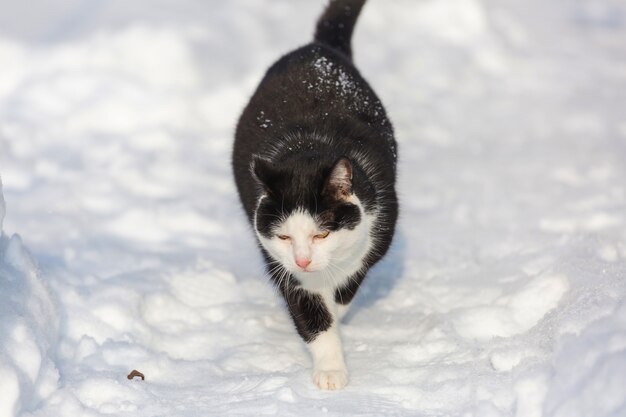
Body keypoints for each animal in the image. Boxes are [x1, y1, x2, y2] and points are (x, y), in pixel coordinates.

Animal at [232, 0, 398, 390]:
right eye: (284, 236)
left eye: (322, 233)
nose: (304, 260)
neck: (307, 150)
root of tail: (317, 48)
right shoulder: (278, 261)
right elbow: (312, 313)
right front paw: (331, 369)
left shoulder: (377, 235)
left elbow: (345, 290)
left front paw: (337, 312)